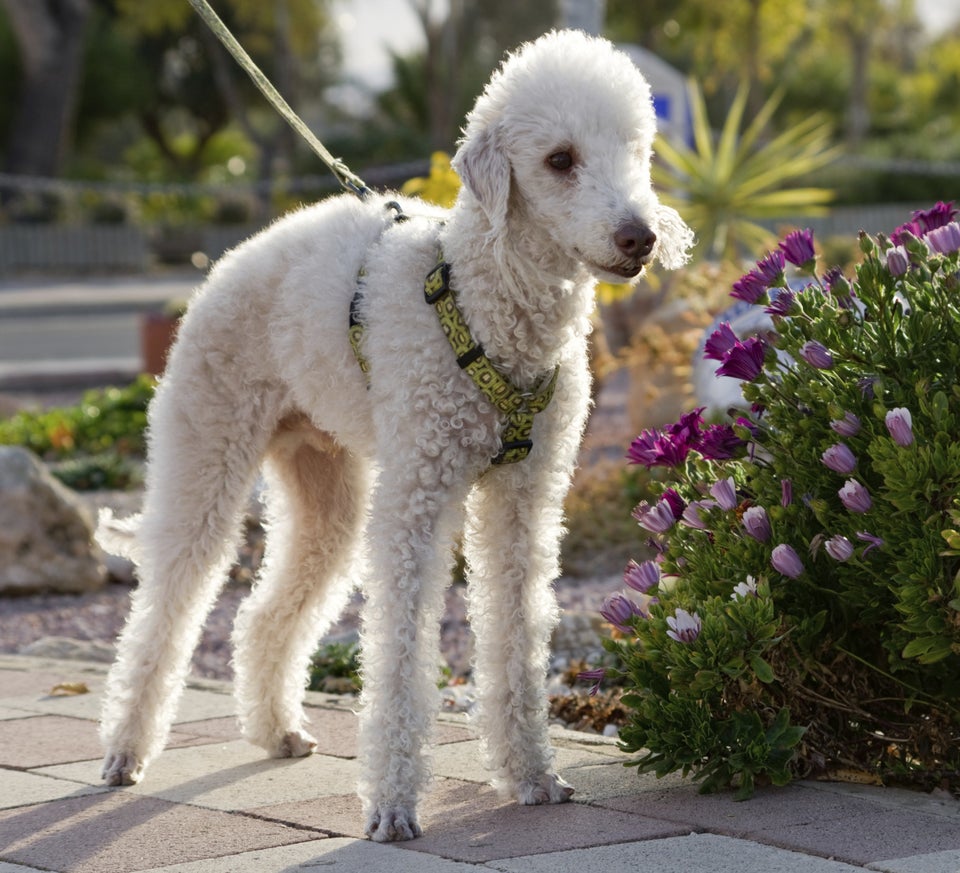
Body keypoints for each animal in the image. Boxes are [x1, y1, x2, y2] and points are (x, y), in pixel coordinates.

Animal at [97, 30, 692, 840]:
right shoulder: (418, 496)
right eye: (560, 159)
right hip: (206, 445)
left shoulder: (525, 499)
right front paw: (392, 805)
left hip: (324, 485)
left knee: (262, 615)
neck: (486, 303)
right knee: (167, 607)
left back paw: (276, 729)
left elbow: (517, 631)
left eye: (636, 149)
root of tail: (227, 264)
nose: (640, 236)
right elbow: (401, 650)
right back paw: (126, 751)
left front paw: (532, 775)